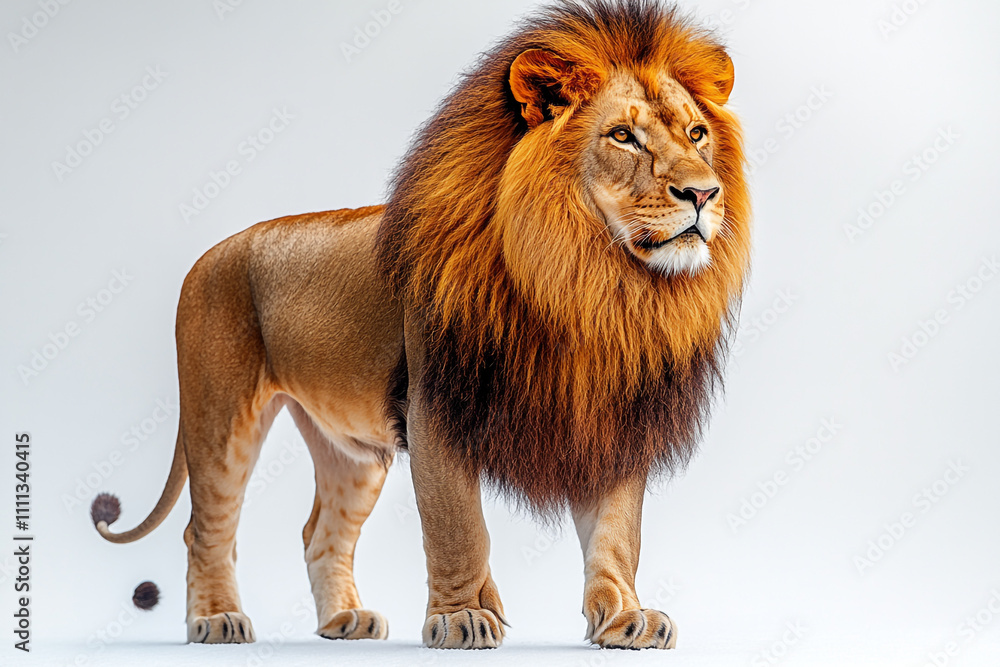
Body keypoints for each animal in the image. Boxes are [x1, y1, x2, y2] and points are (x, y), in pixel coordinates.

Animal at [91, 0, 751, 651]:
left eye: (696, 133)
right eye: (622, 136)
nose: (704, 193)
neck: (594, 285)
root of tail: (210, 253)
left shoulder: (613, 420)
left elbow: (616, 534)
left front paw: (623, 619)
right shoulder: (435, 409)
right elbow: (458, 528)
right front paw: (462, 619)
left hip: (350, 451)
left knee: (319, 532)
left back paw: (343, 620)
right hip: (220, 417)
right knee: (207, 528)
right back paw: (215, 620)